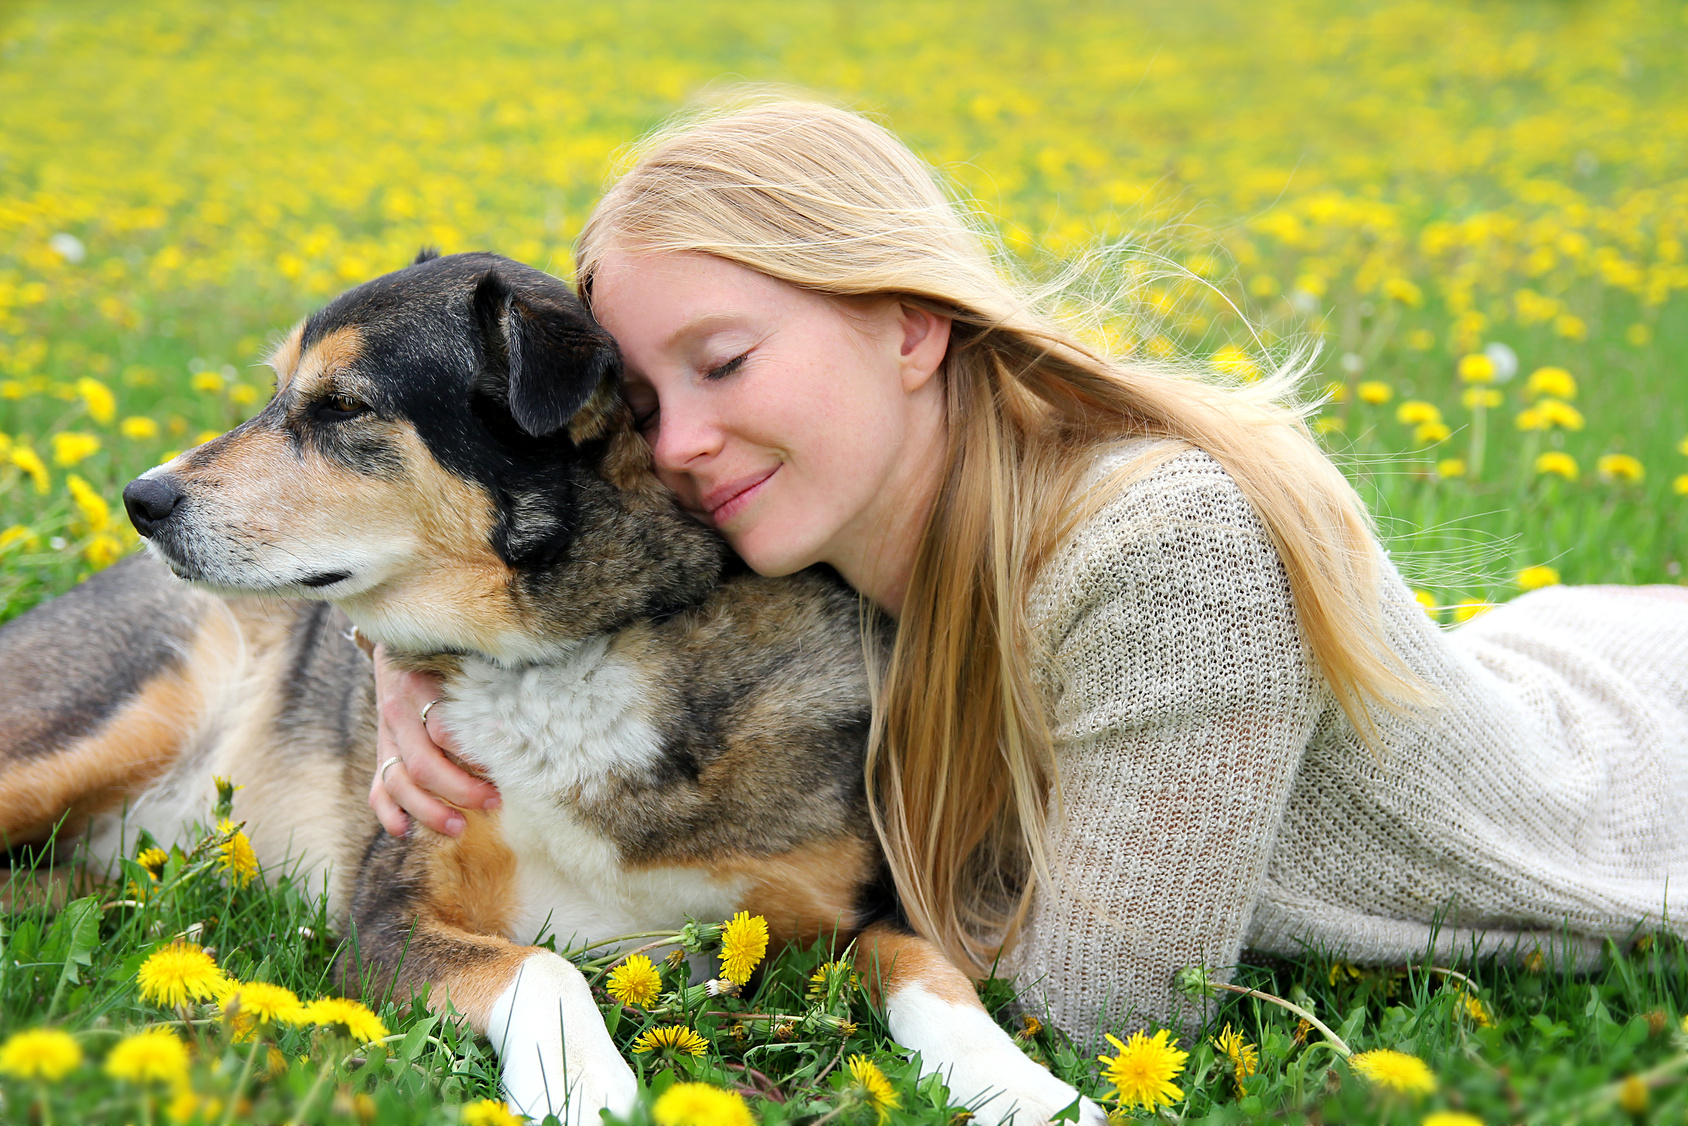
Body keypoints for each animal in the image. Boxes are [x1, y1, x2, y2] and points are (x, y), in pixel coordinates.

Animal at [0, 254, 1100, 1126]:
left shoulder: (851, 912)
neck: (570, 651)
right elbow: (544, 964)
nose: (141, 499)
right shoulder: (385, 923)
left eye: (345, 406)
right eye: (276, 392)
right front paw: (583, 1086)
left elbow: (926, 967)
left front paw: (1028, 1089)